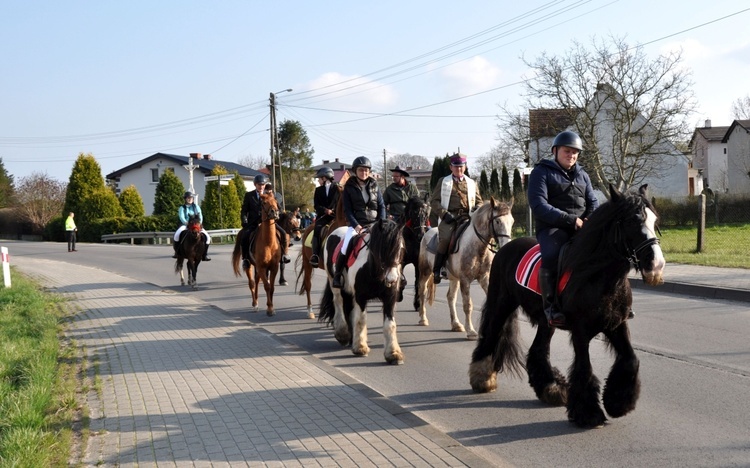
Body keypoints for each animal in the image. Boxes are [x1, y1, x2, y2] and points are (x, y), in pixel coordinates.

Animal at [320, 219, 408, 366]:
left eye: (401, 249)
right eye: (382, 250)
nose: (392, 279)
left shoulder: (389, 298)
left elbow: (390, 325)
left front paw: (393, 354)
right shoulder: (361, 297)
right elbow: (361, 319)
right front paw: (360, 348)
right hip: (334, 282)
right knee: (338, 302)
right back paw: (343, 335)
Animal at [418, 197, 516, 340]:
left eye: (512, 221)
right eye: (498, 221)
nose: (506, 245)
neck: (478, 248)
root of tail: (427, 232)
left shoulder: (484, 278)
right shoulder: (465, 280)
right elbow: (467, 305)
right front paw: (471, 331)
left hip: (453, 278)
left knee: (451, 297)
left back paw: (456, 324)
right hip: (425, 272)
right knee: (422, 291)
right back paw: (423, 319)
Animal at [472, 185, 668, 430]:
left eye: (654, 220)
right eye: (633, 221)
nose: (656, 267)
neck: (595, 273)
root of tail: (505, 248)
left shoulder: (617, 325)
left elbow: (631, 359)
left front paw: (618, 403)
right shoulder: (580, 331)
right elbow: (584, 369)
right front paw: (589, 414)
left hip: (546, 321)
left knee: (538, 351)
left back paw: (552, 388)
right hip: (501, 304)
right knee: (490, 336)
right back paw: (482, 377)